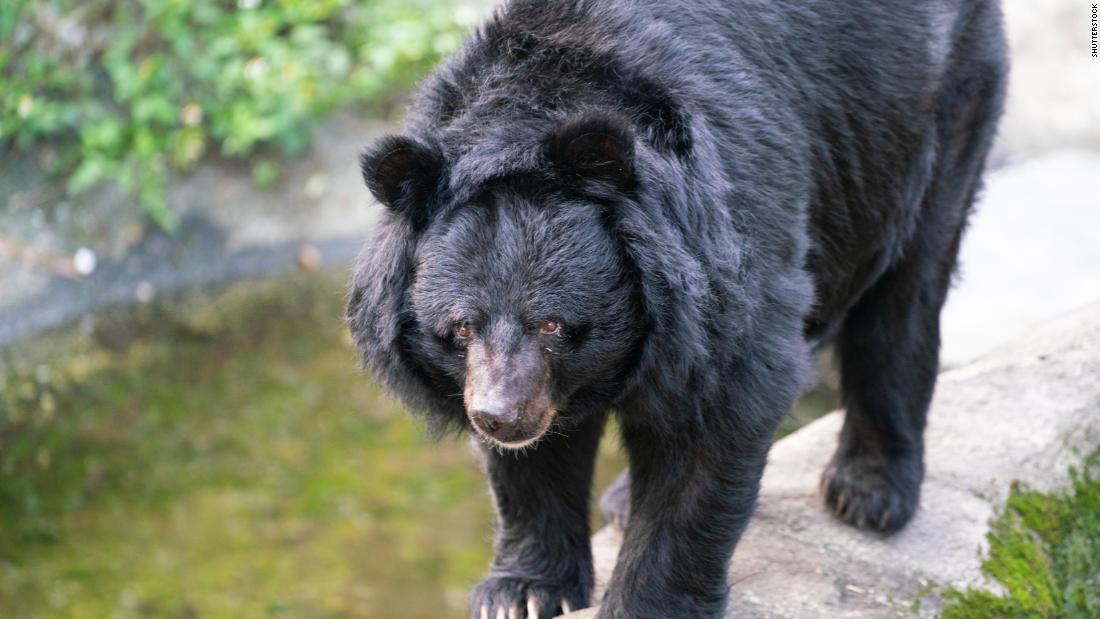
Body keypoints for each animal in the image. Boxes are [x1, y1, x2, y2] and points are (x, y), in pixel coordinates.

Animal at [347, 1, 1007, 615]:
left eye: (555, 325)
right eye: (460, 329)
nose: (499, 418)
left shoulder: (725, 248)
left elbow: (718, 417)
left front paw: (643, 602)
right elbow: (534, 467)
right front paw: (523, 593)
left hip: (932, 113)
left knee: (905, 293)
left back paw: (869, 491)